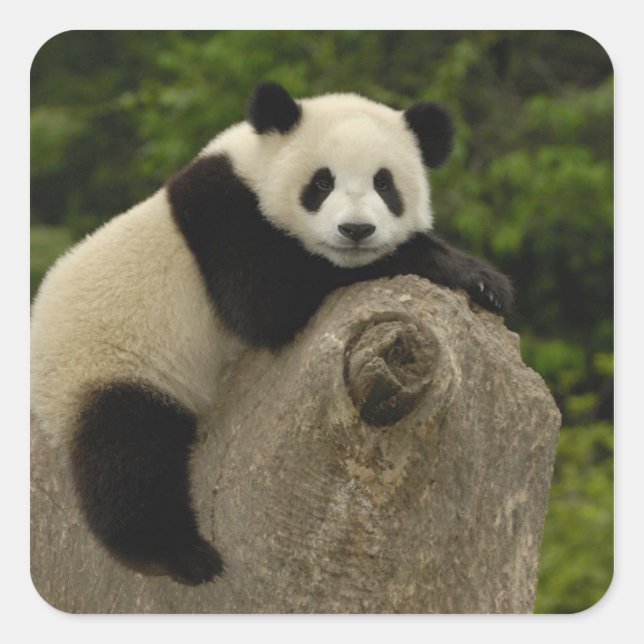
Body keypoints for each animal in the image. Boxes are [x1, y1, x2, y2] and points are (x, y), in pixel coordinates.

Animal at [31, 82, 512, 585]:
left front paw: (483, 284)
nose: (356, 230)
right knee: (127, 451)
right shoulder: (226, 218)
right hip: (108, 363)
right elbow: (269, 301)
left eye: (385, 183)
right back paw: (179, 555)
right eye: (322, 183)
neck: (254, 165)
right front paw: (469, 271)